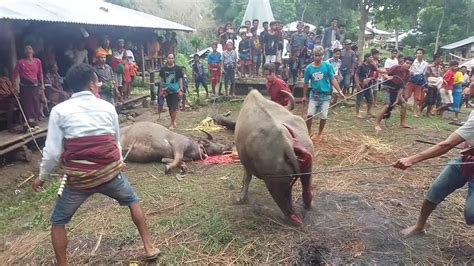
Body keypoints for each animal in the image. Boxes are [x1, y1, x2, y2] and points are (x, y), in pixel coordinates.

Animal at [234, 90, 314, 225]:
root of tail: (286, 143)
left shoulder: (246, 164)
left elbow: (246, 178)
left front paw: (241, 198)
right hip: (307, 164)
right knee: (306, 188)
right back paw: (307, 204)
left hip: (274, 182)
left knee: (285, 204)